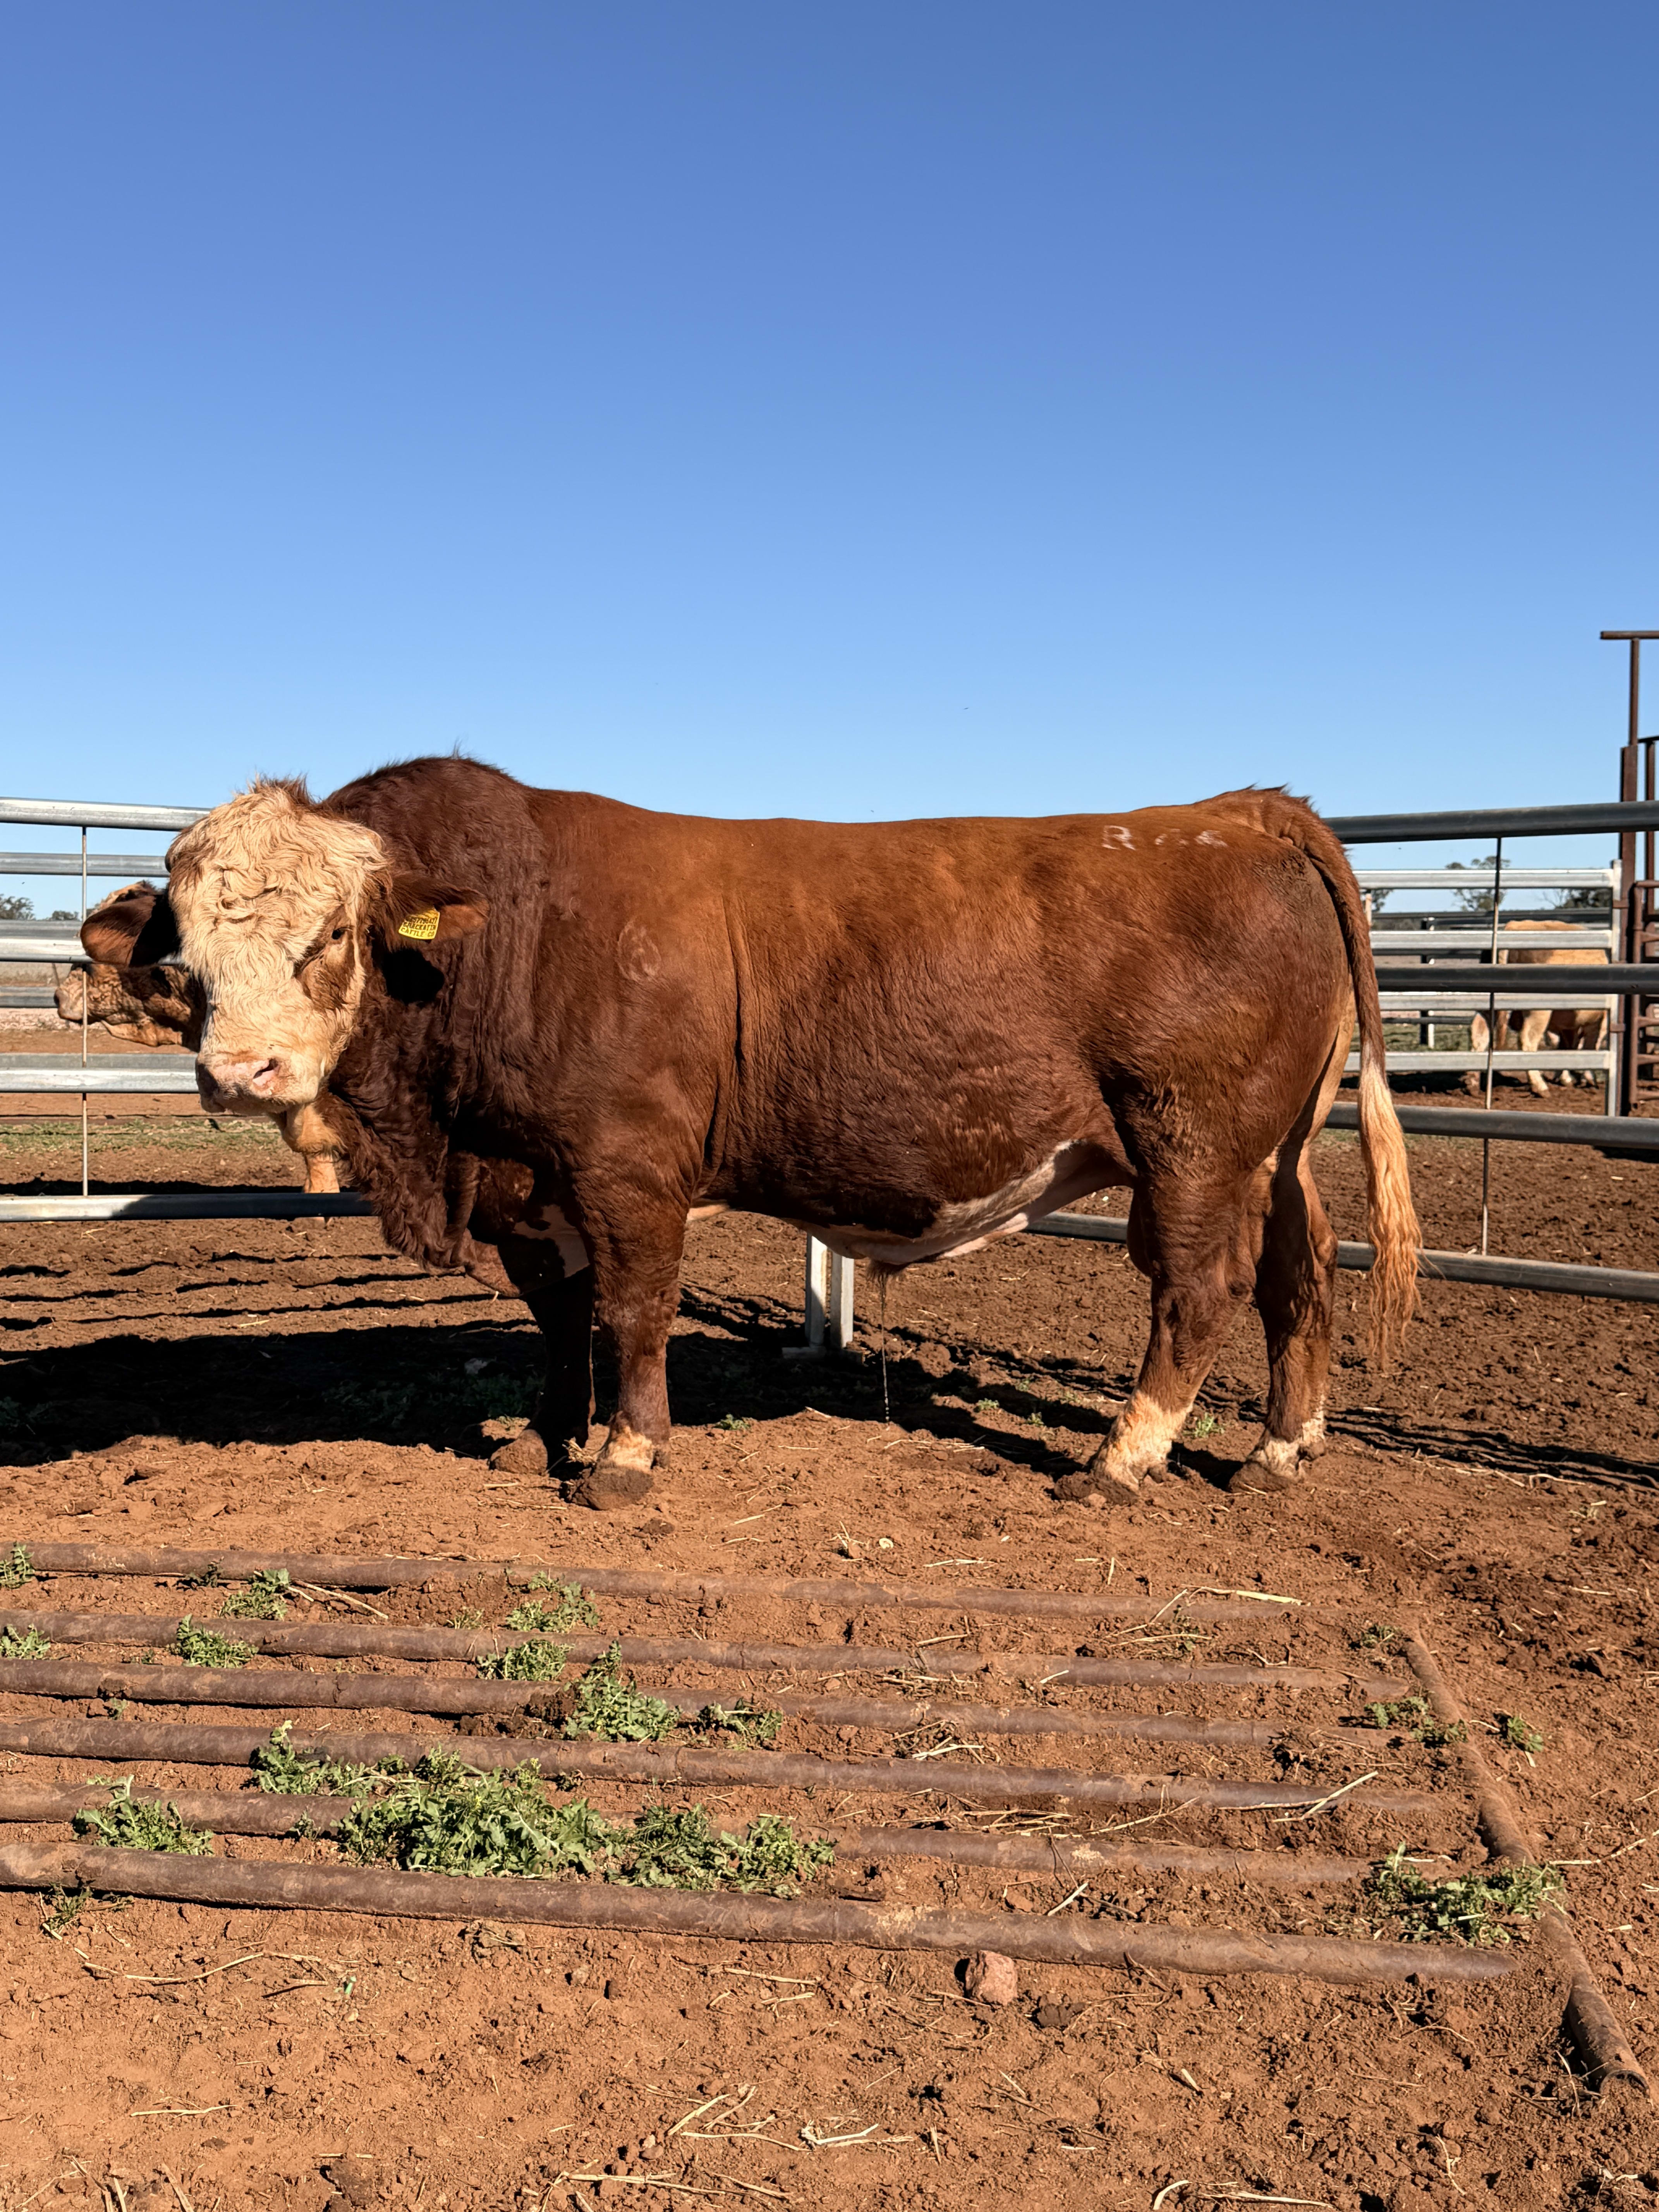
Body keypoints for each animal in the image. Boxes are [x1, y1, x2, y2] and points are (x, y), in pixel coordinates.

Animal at [1461, 919, 1610, 1098]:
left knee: (1479, 1034)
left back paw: (1472, 1083)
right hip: (1539, 1011)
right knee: (1527, 1041)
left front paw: (1566, 1078)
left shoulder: (1570, 1024)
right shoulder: (1598, 1020)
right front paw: (1588, 1079)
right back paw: (1540, 1087)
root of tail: (1513, 926)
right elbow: (1590, 1046)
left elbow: (1567, 1047)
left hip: (1487, 1006)